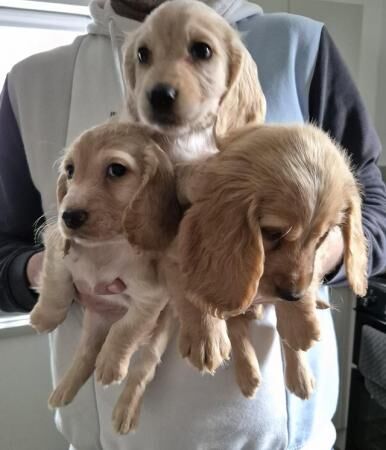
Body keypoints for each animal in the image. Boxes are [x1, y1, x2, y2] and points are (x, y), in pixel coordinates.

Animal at [29, 121, 181, 434]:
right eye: (70, 170)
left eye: (116, 170)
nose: (69, 216)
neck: (104, 248)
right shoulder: (56, 245)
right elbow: (57, 283)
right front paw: (45, 316)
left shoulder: (151, 297)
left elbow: (126, 329)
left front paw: (112, 361)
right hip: (94, 319)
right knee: (85, 352)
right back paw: (64, 388)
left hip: (160, 331)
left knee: (143, 367)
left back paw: (125, 409)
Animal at [122, 0, 266, 372]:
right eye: (143, 55)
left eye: (202, 50)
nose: (158, 95)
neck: (187, 139)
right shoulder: (167, 244)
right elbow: (189, 285)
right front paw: (206, 334)